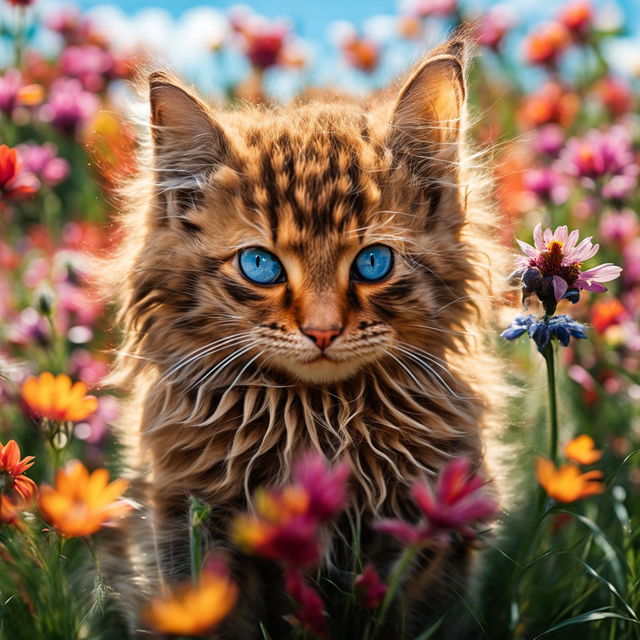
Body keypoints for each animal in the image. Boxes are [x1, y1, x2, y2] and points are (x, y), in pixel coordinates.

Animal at [104, 37, 504, 636]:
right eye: (260, 265)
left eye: (373, 262)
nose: (322, 330)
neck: (318, 422)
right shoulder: (184, 525)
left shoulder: (432, 534)